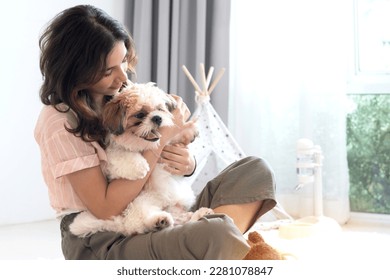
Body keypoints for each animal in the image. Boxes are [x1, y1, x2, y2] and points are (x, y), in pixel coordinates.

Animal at [68, 82, 212, 237]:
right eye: (140, 115)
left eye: (160, 109)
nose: (157, 118)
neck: (143, 145)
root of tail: (121, 224)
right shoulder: (113, 154)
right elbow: (123, 155)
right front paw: (141, 166)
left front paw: (190, 130)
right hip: (139, 204)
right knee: (142, 220)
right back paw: (159, 221)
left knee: (183, 219)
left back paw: (200, 214)